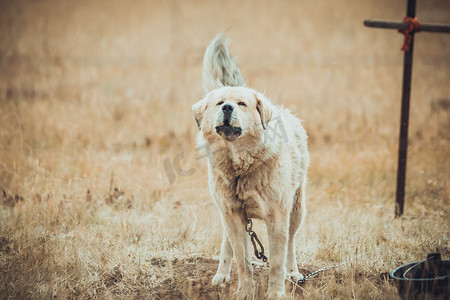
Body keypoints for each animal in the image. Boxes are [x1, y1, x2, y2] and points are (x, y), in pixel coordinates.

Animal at [190, 34, 310, 298]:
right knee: (228, 243)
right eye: (220, 103)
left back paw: (293, 272)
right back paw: (221, 275)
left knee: (291, 243)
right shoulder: (233, 215)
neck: (240, 168)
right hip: (225, 212)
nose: (227, 108)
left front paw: (276, 293)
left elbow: (276, 262)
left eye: (241, 104)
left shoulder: (277, 218)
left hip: (296, 208)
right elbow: (243, 260)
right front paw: (244, 291)